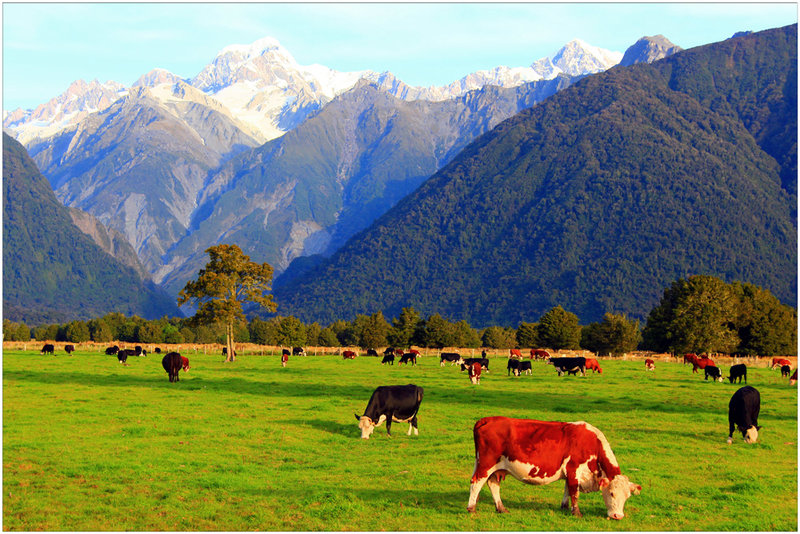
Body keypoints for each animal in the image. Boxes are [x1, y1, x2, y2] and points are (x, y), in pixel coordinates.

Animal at [466, 418, 640, 520]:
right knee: (476, 482)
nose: (618, 516)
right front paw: (576, 513)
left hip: (495, 467)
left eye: (627, 497)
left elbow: (567, 489)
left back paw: (501, 508)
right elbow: (574, 492)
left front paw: (564, 507)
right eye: (611, 493)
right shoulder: (574, 469)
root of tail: (487, 419)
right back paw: (471, 508)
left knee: (493, 484)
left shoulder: (570, 473)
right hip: (486, 464)